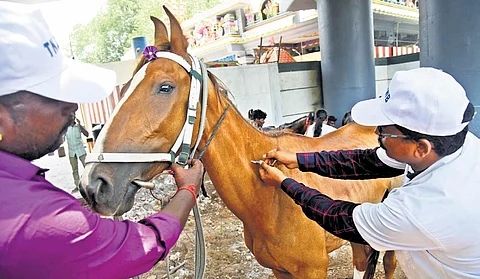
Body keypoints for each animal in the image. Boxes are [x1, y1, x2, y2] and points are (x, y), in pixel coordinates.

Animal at [81, 7, 398, 278]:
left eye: (165, 87)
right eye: (124, 87)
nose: (93, 184)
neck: (269, 199)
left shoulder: (313, 270)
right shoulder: (280, 271)